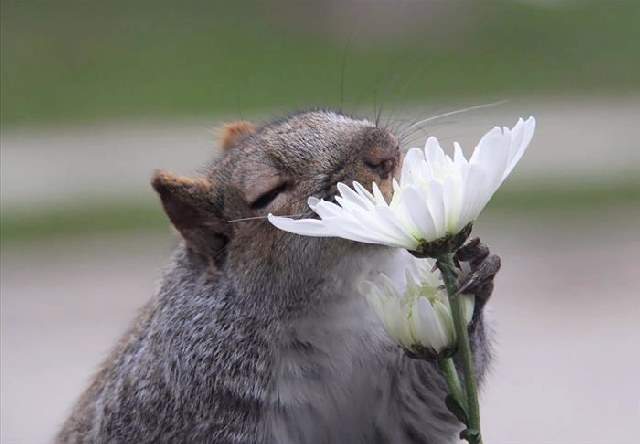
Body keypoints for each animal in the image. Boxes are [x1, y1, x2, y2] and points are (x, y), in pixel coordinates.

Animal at [55, 109, 500, 442]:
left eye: (332, 114)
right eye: (268, 194)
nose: (383, 149)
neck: (335, 304)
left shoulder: (395, 396)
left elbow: (429, 403)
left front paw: (472, 272)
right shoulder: (190, 402)